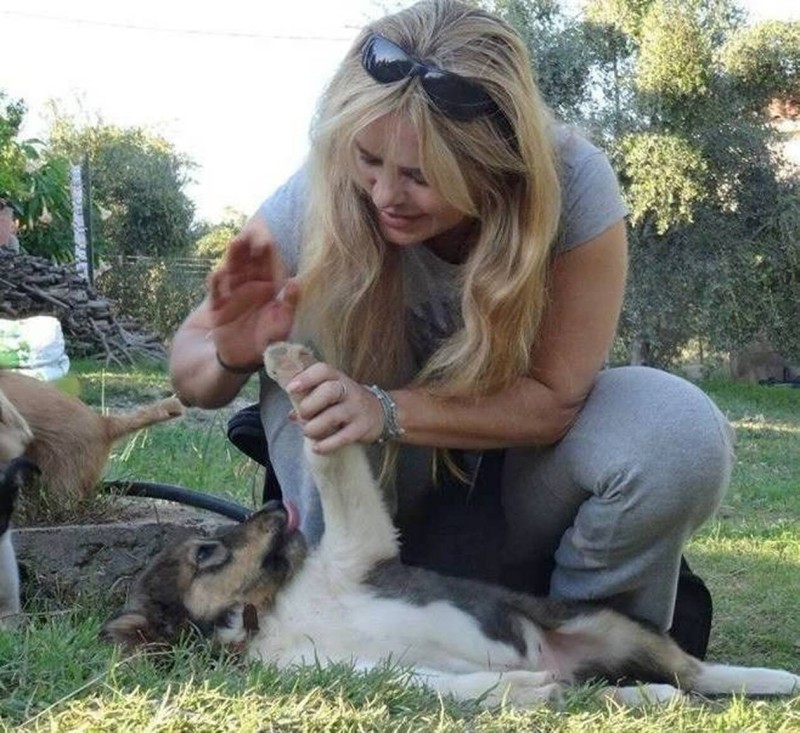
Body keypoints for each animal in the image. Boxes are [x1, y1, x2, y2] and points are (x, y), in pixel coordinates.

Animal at [104, 340, 800, 708]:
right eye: (205, 553)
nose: (275, 510)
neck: (271, 611)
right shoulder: (347, 671)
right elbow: (460, 686)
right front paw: (519, 686)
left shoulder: (358, 543)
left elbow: (328, 447)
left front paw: (290, 360)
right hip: (595, 674)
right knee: (645, 689)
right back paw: (611, 694)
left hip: (598, 620)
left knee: (695, 671)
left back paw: (775, 679)